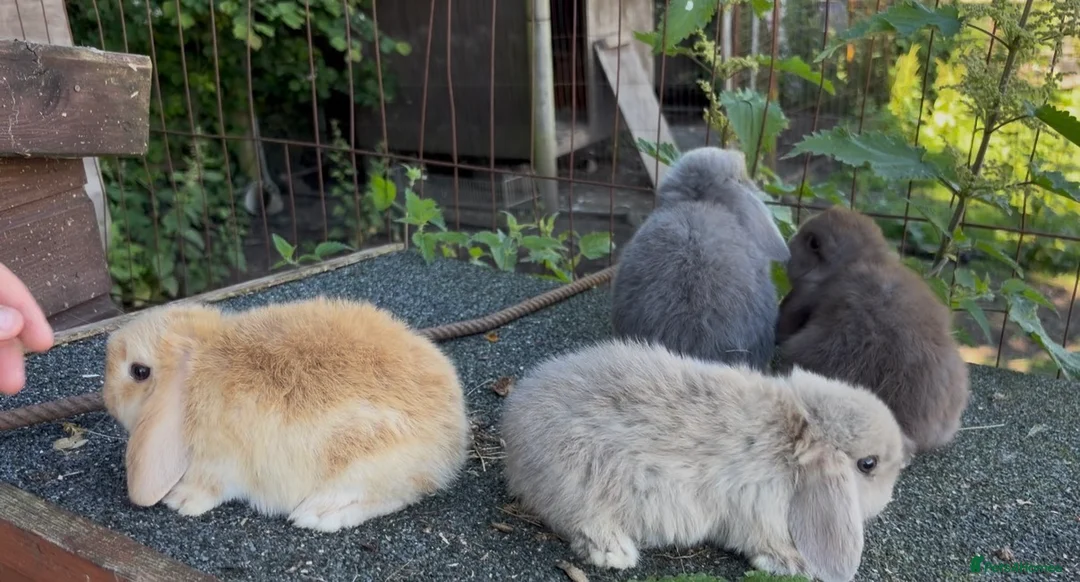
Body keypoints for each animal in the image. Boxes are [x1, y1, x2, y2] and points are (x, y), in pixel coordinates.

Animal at [102, 296, 470, 533]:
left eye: (138, 371)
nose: (107, 399)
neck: (194, 378)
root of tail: (453, 439)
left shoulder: (220, 462)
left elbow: (211, 487)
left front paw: (181, 501)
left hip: (365, 460)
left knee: (393, 496)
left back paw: (319, 514)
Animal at [499, 338, 912, 582]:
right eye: (868, 464)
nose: (890, 498)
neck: (794, 440)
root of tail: (516, 425)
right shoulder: (758, 514)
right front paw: (795, 564)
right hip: (582, 477)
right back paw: (616, 553)